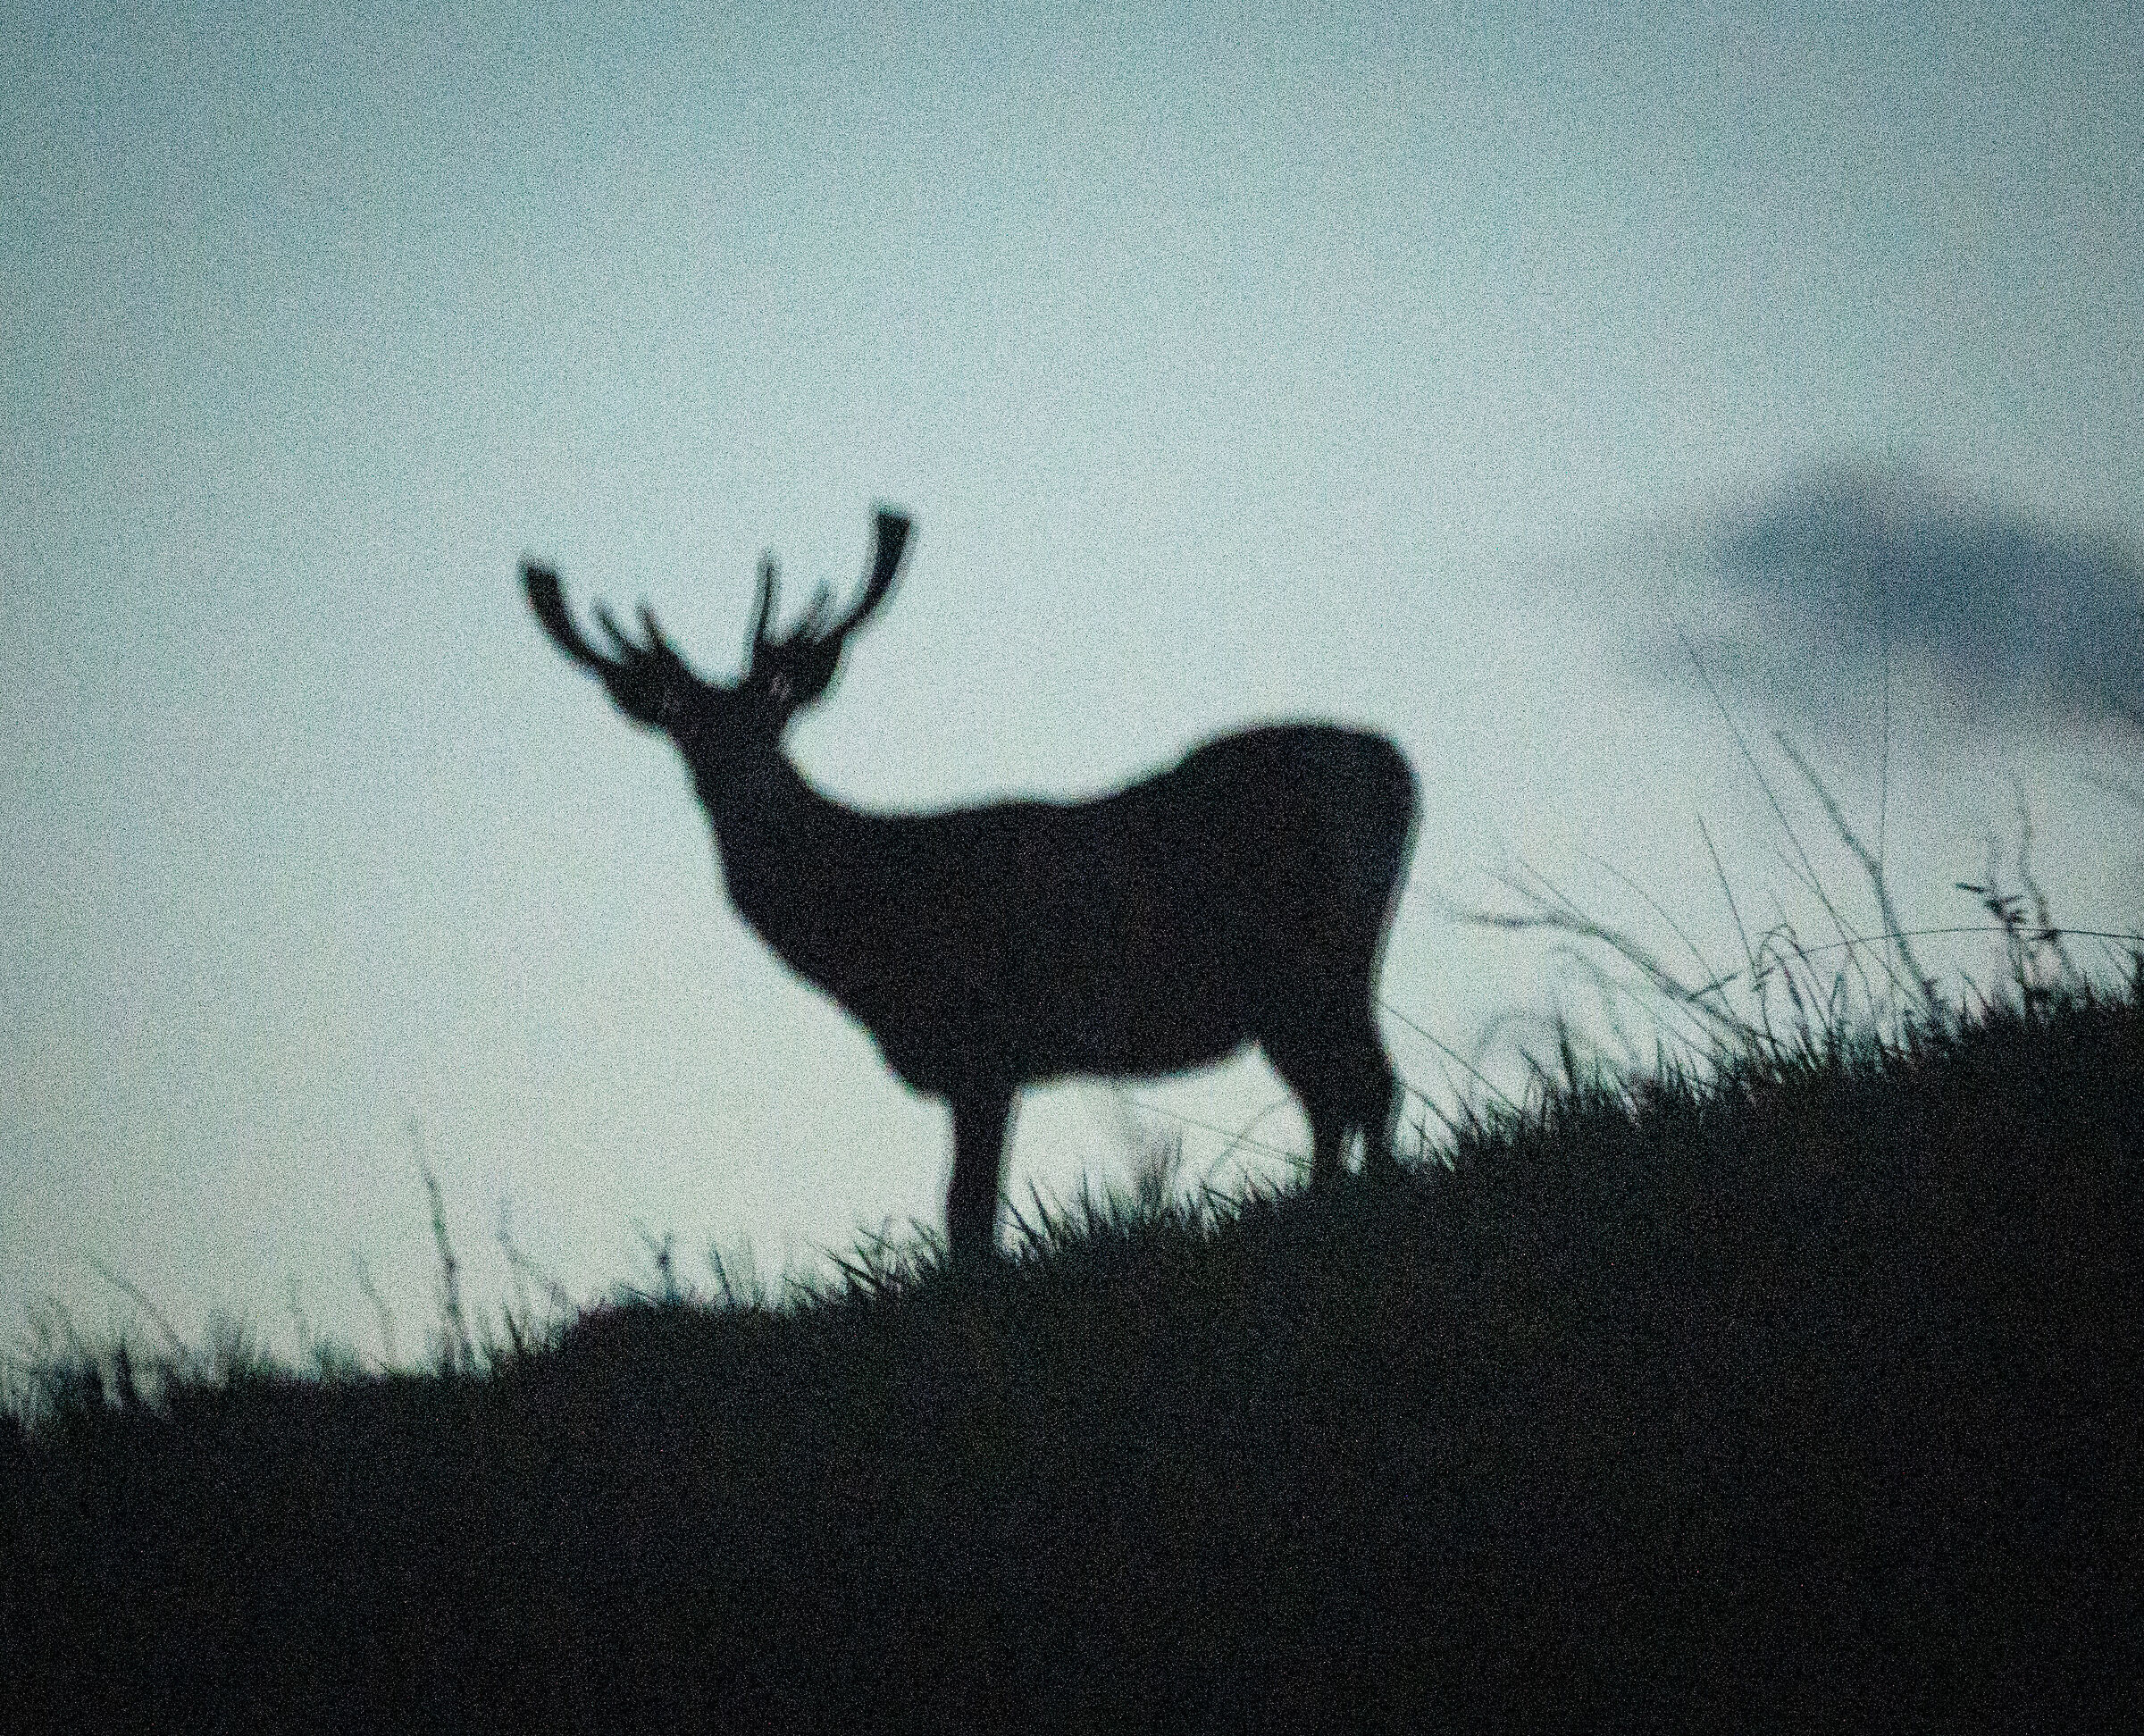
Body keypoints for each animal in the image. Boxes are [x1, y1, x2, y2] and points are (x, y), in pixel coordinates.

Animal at [524, 508, 1419, 1267]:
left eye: (774, 713)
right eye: (682, 724)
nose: (734, 783)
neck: (868, 929)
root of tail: (1398, 768)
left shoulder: (983, 1041)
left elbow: (967, 1213)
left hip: (1317, 951)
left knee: (1368, 1088)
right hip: (1299, 982)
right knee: (1339, 1095)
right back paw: (1326, 1203)